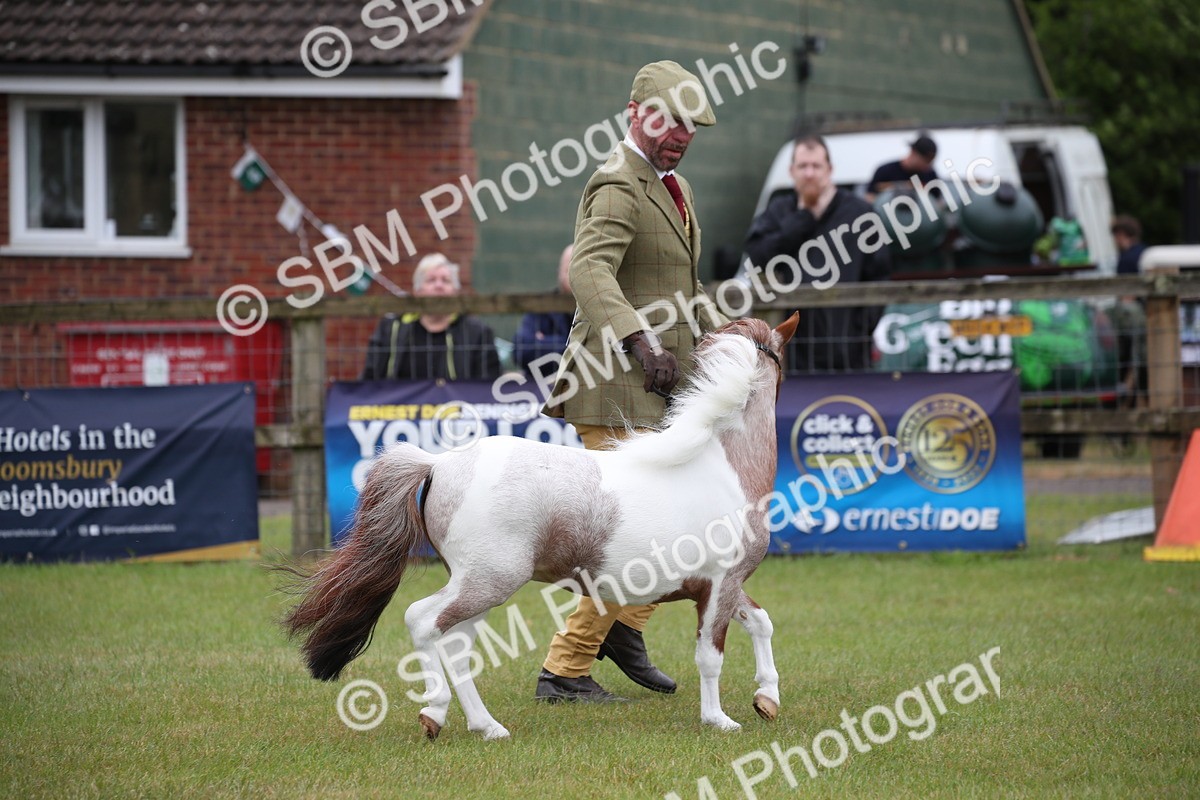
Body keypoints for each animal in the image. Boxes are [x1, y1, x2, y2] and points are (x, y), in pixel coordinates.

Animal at [283, 313, 799, 740]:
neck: (724, 468)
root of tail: (438, 463)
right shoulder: (720, 585)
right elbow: (710, 656)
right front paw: (720, 720)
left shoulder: (721, 587)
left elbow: (763, 622)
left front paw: (767, 699)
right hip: (488, 580)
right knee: (422, 621)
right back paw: (434, 714)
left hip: (474, 584)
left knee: (455, 646)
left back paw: (486, 727)